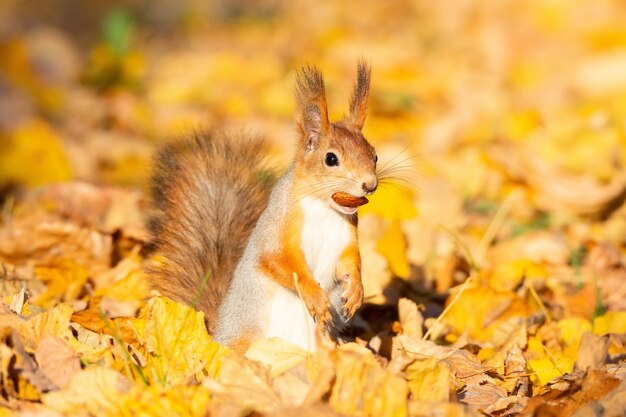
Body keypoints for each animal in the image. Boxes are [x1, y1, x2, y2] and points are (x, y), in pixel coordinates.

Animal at [147, 61, 378, 352]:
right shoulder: (279, 228)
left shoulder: (346, 235)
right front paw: (315, 296)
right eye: (331, 159)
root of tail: (217, 334)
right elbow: (280, 262)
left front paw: (356, 290)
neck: (324, 210)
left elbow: (351, 261)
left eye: (374, 155)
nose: (370, 184)